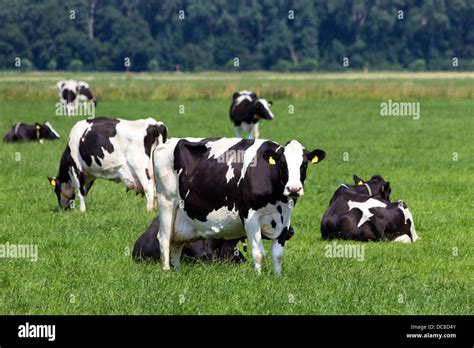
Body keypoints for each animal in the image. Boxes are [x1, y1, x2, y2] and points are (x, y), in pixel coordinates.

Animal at [155, 136, 326, 274]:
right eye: (283, 164)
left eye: (304, 165)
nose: (294, 189)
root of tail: (167, 143)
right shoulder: (250, 216)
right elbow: (259, 254)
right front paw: (259, 278)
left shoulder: (285, 218)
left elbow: (277, 255)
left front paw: (278, 278)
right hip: (166, 201)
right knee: (164, 238)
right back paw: (167, 271)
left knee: (176, 242)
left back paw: (177, 272)